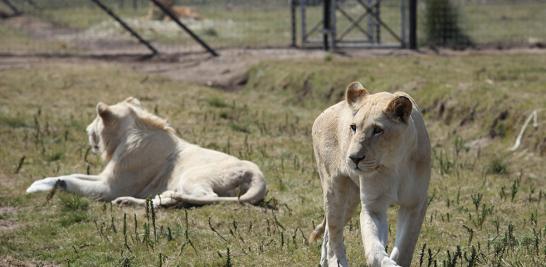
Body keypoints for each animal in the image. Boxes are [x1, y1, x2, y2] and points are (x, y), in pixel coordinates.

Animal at [26, 97, 266, 208]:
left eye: (95, 119)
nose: (86, 130)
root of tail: (258, 175)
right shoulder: (106, 177)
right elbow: (73, 175)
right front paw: (40, 181)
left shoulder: (109, 188)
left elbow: (70, 182)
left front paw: (35, 187)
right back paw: (135, 201)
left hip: (191, 175)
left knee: (206, 198)